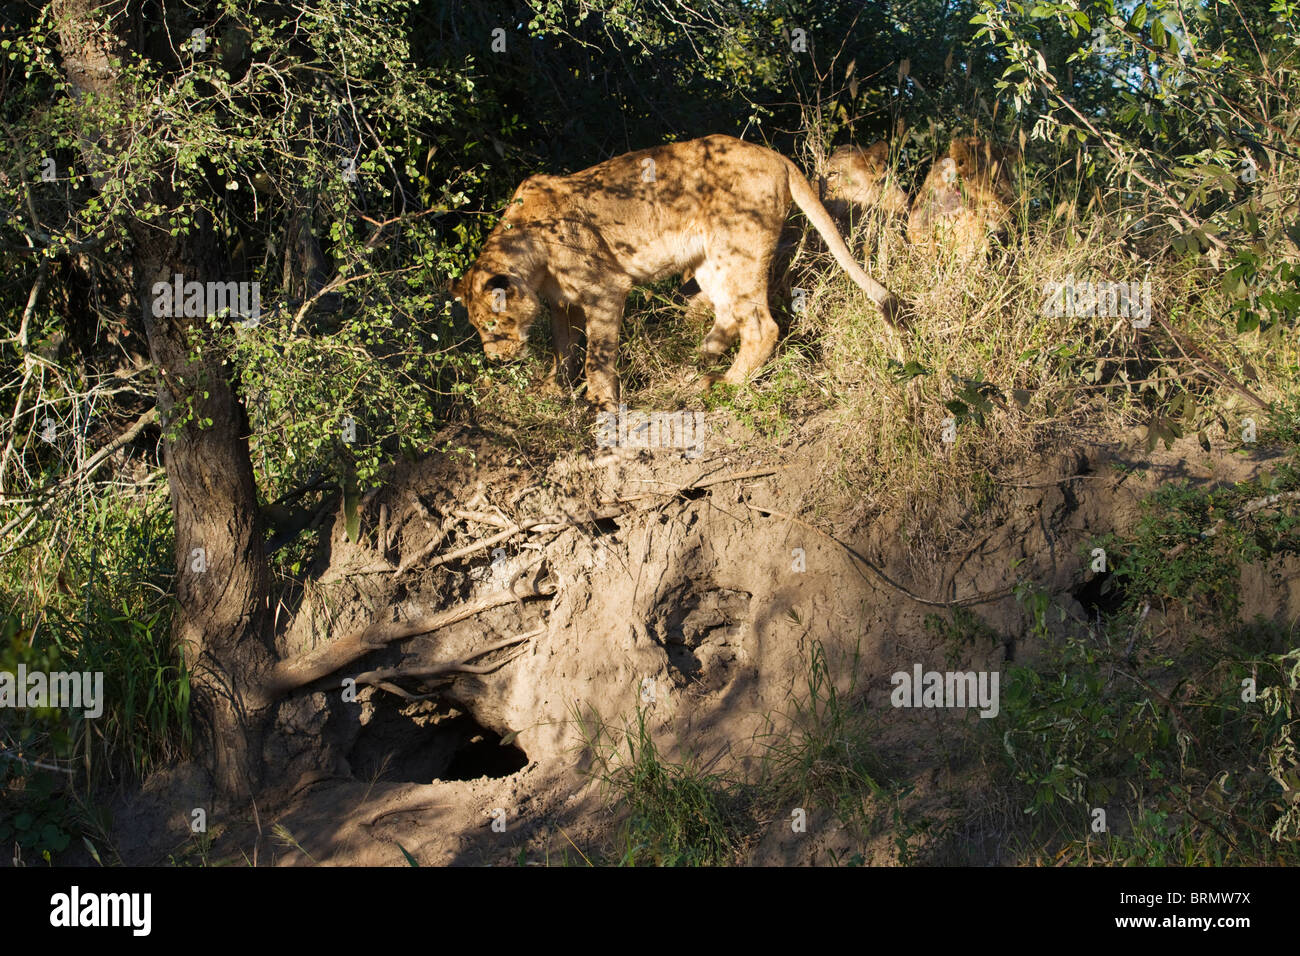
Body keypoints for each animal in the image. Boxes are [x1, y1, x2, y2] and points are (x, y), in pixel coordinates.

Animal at [452, 132, 899, 408]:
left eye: (493, 326)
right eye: (476, 328)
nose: (496, 360)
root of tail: (777, 157)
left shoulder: (605, 289)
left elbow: (597, 355)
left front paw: (602, 403)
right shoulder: (565, 304)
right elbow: (565, 348)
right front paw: (551, 388)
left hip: (738, 248)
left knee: (760, 325)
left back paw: (722, 384)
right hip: (711, 261)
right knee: (728, 313)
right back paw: (701, 356)